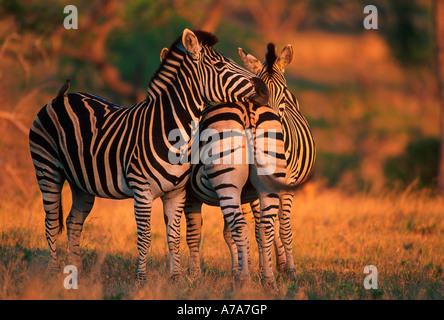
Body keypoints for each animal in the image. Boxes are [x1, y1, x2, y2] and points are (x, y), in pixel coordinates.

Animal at [30, 28, 270, 282]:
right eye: (220, 65)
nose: (264, 90)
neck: (170, 131)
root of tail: (62, 96)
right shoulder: (142, 193)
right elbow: (145, 238)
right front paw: (141, 280)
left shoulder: (176, 193)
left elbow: (173, 236)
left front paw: (176, 278)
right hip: (47, 169)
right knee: (51, 221)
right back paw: (53, 272)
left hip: (81, 183)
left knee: (73, 222)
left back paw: (77, 272)